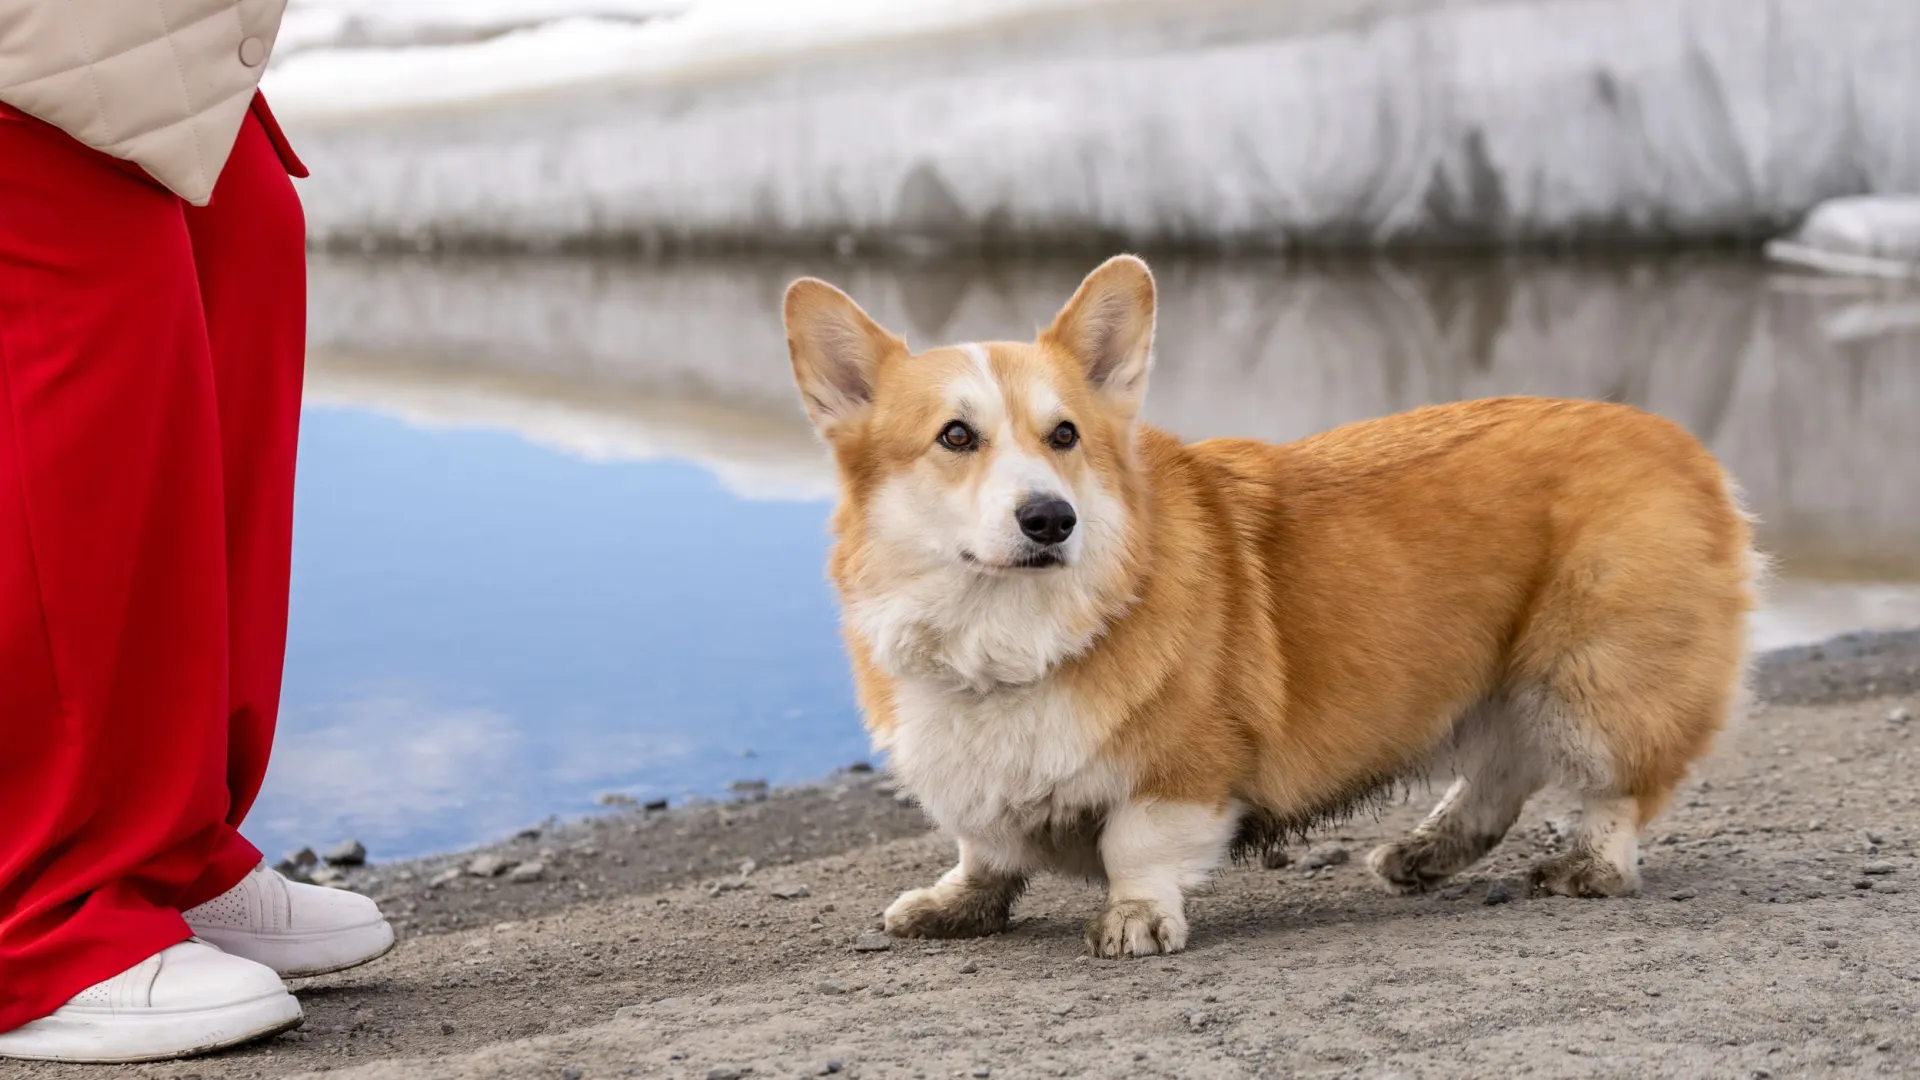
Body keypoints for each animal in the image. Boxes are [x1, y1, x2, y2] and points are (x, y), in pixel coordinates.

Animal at [779, 253, 1758, 957]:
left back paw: (1585, 865)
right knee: (1501, 771)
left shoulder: (1183, 772)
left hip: (1590, 678)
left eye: (1065, 436)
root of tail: (1685, 444)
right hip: (1492, 679)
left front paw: (1135, 919)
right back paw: (1425, 851)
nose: (1051, 519)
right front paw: (954, 904)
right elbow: (981, 854)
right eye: (955, 436)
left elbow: (1137, 846)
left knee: (1616, 787)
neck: (1009, 633)